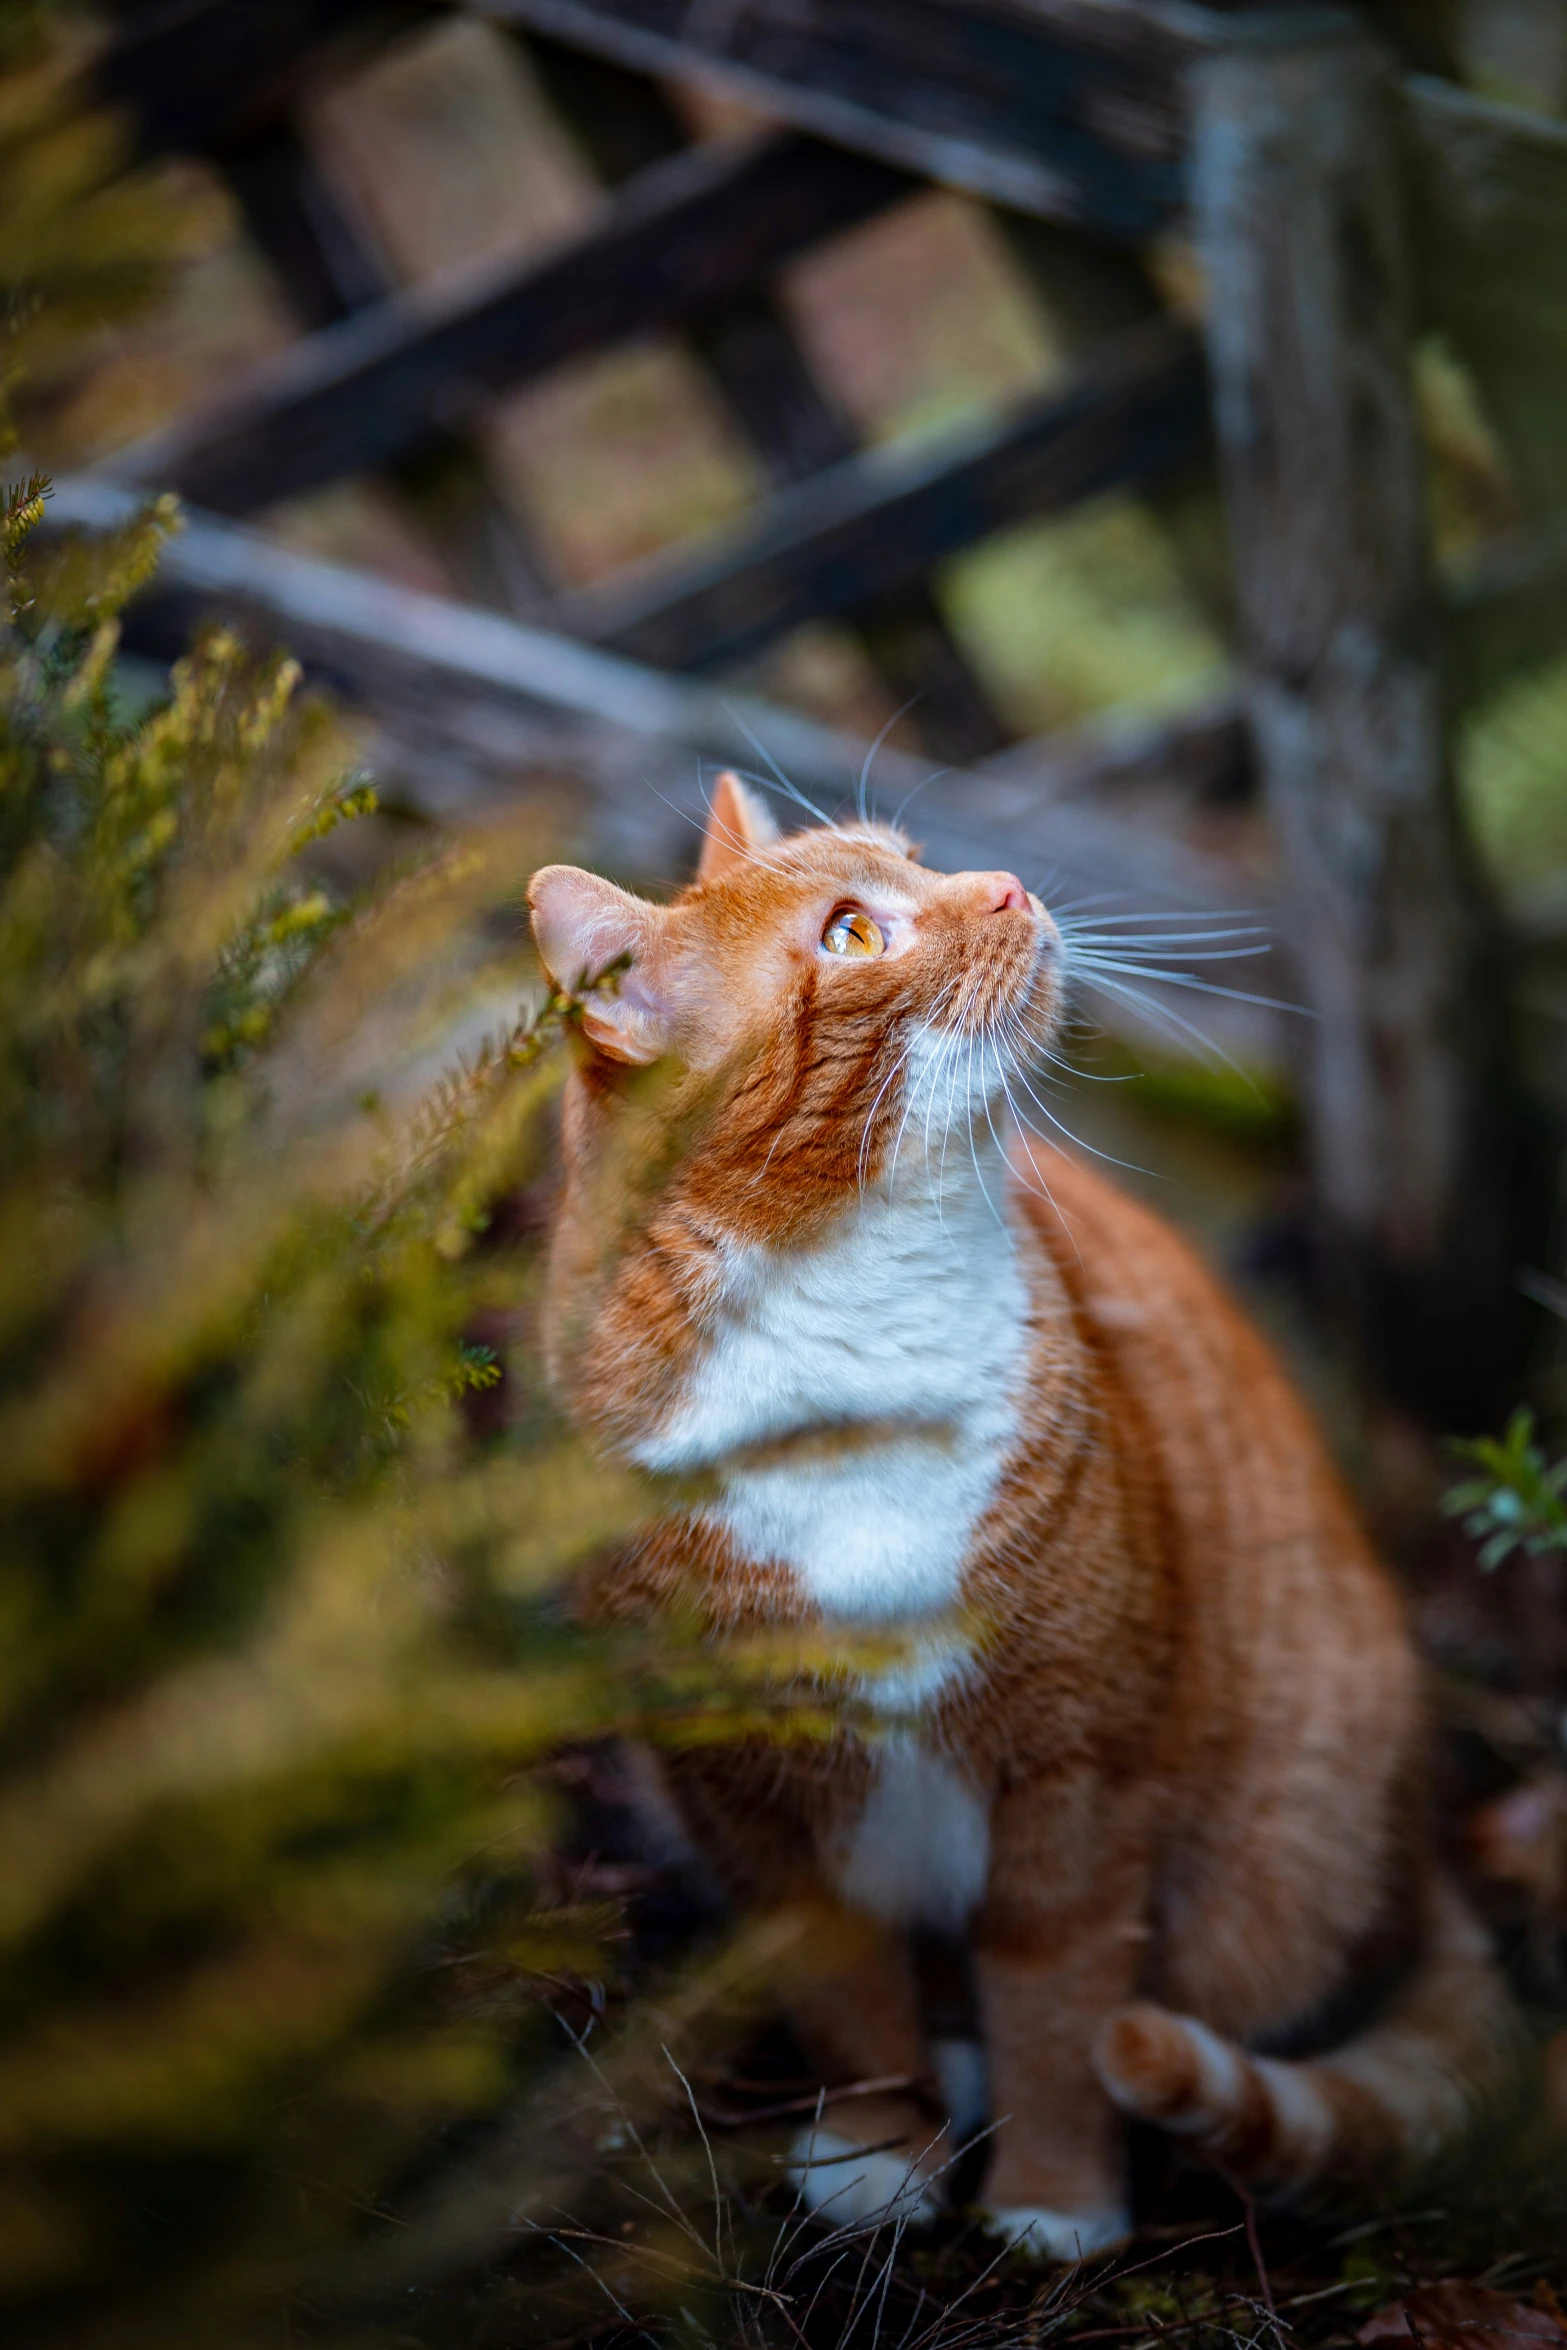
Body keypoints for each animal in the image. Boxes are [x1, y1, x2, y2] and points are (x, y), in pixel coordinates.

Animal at [530, 770, 1522, 2256]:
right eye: (851, 933)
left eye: (918, 861)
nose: (998, 882)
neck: (858, 1330)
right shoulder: (750, 1798)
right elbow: (848, 1997)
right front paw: (879, 2154)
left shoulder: (1081, 1771)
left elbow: (1059, 2002)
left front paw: (1053, 2200)